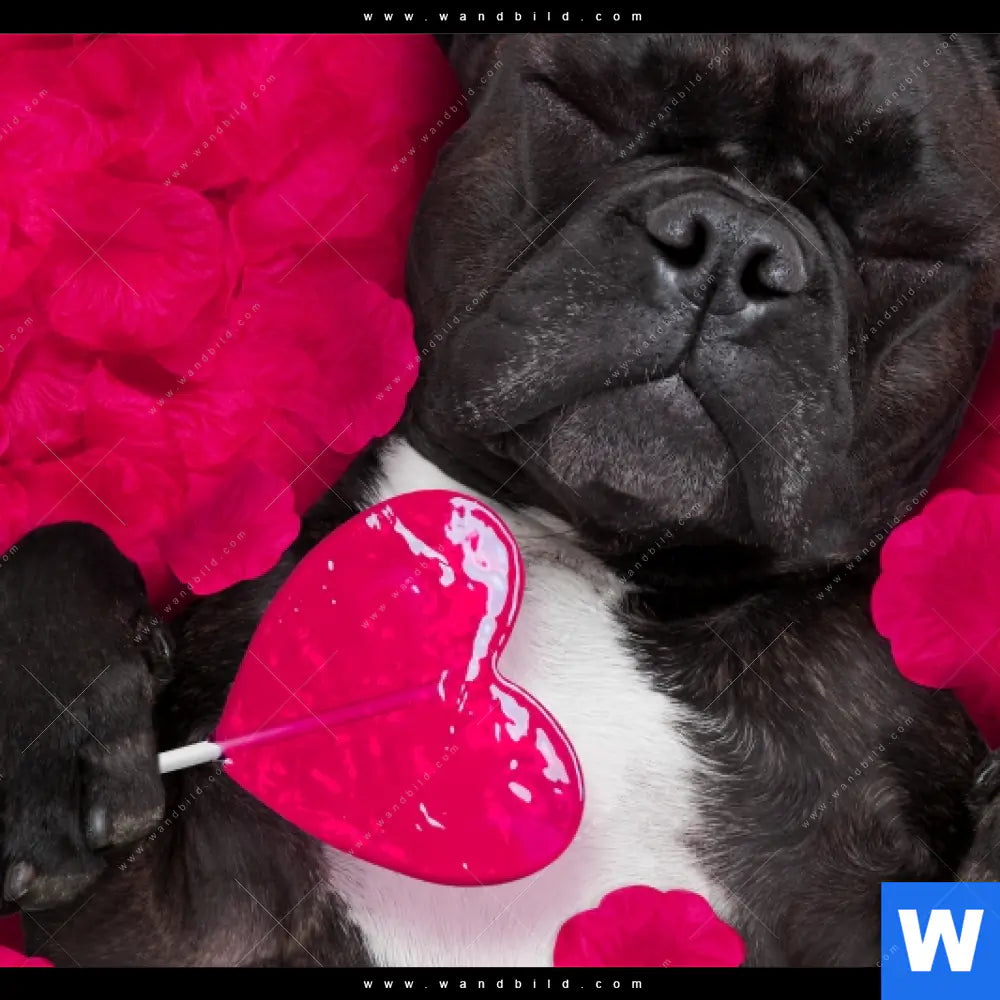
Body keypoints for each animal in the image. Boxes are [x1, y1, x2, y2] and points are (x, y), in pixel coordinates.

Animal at [4, 32, 1000, 967]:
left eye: (905, 239)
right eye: (585, 107)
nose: (728, 244)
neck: (578, 552)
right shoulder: (174, 924)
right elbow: (63, 540)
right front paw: (53, 740)